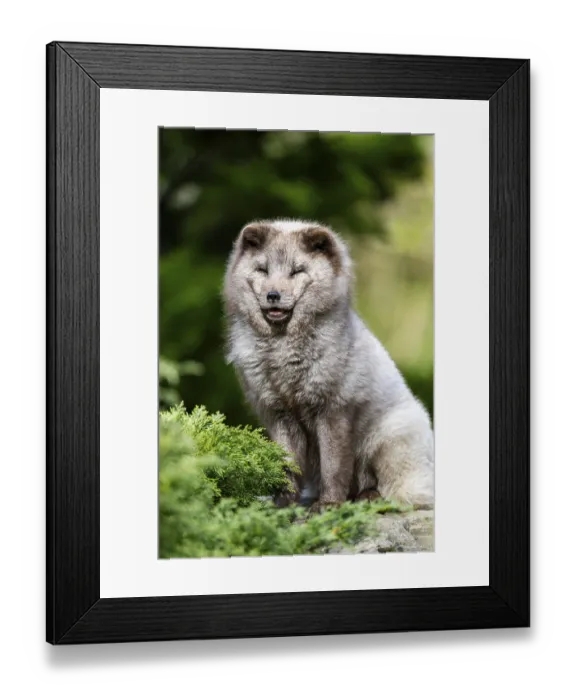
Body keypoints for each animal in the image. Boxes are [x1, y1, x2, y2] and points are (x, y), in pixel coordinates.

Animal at [223, 219, 434, 510]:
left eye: (297, 271)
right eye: (263, 269)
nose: (273, 295)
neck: (283, 350)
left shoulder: (333, 410)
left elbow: (334, 466)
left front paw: (330, 504)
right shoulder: (280, 415)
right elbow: (287, 465)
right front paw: (284, 502)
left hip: (387, 441)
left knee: (395, 491)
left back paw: (370, 497)